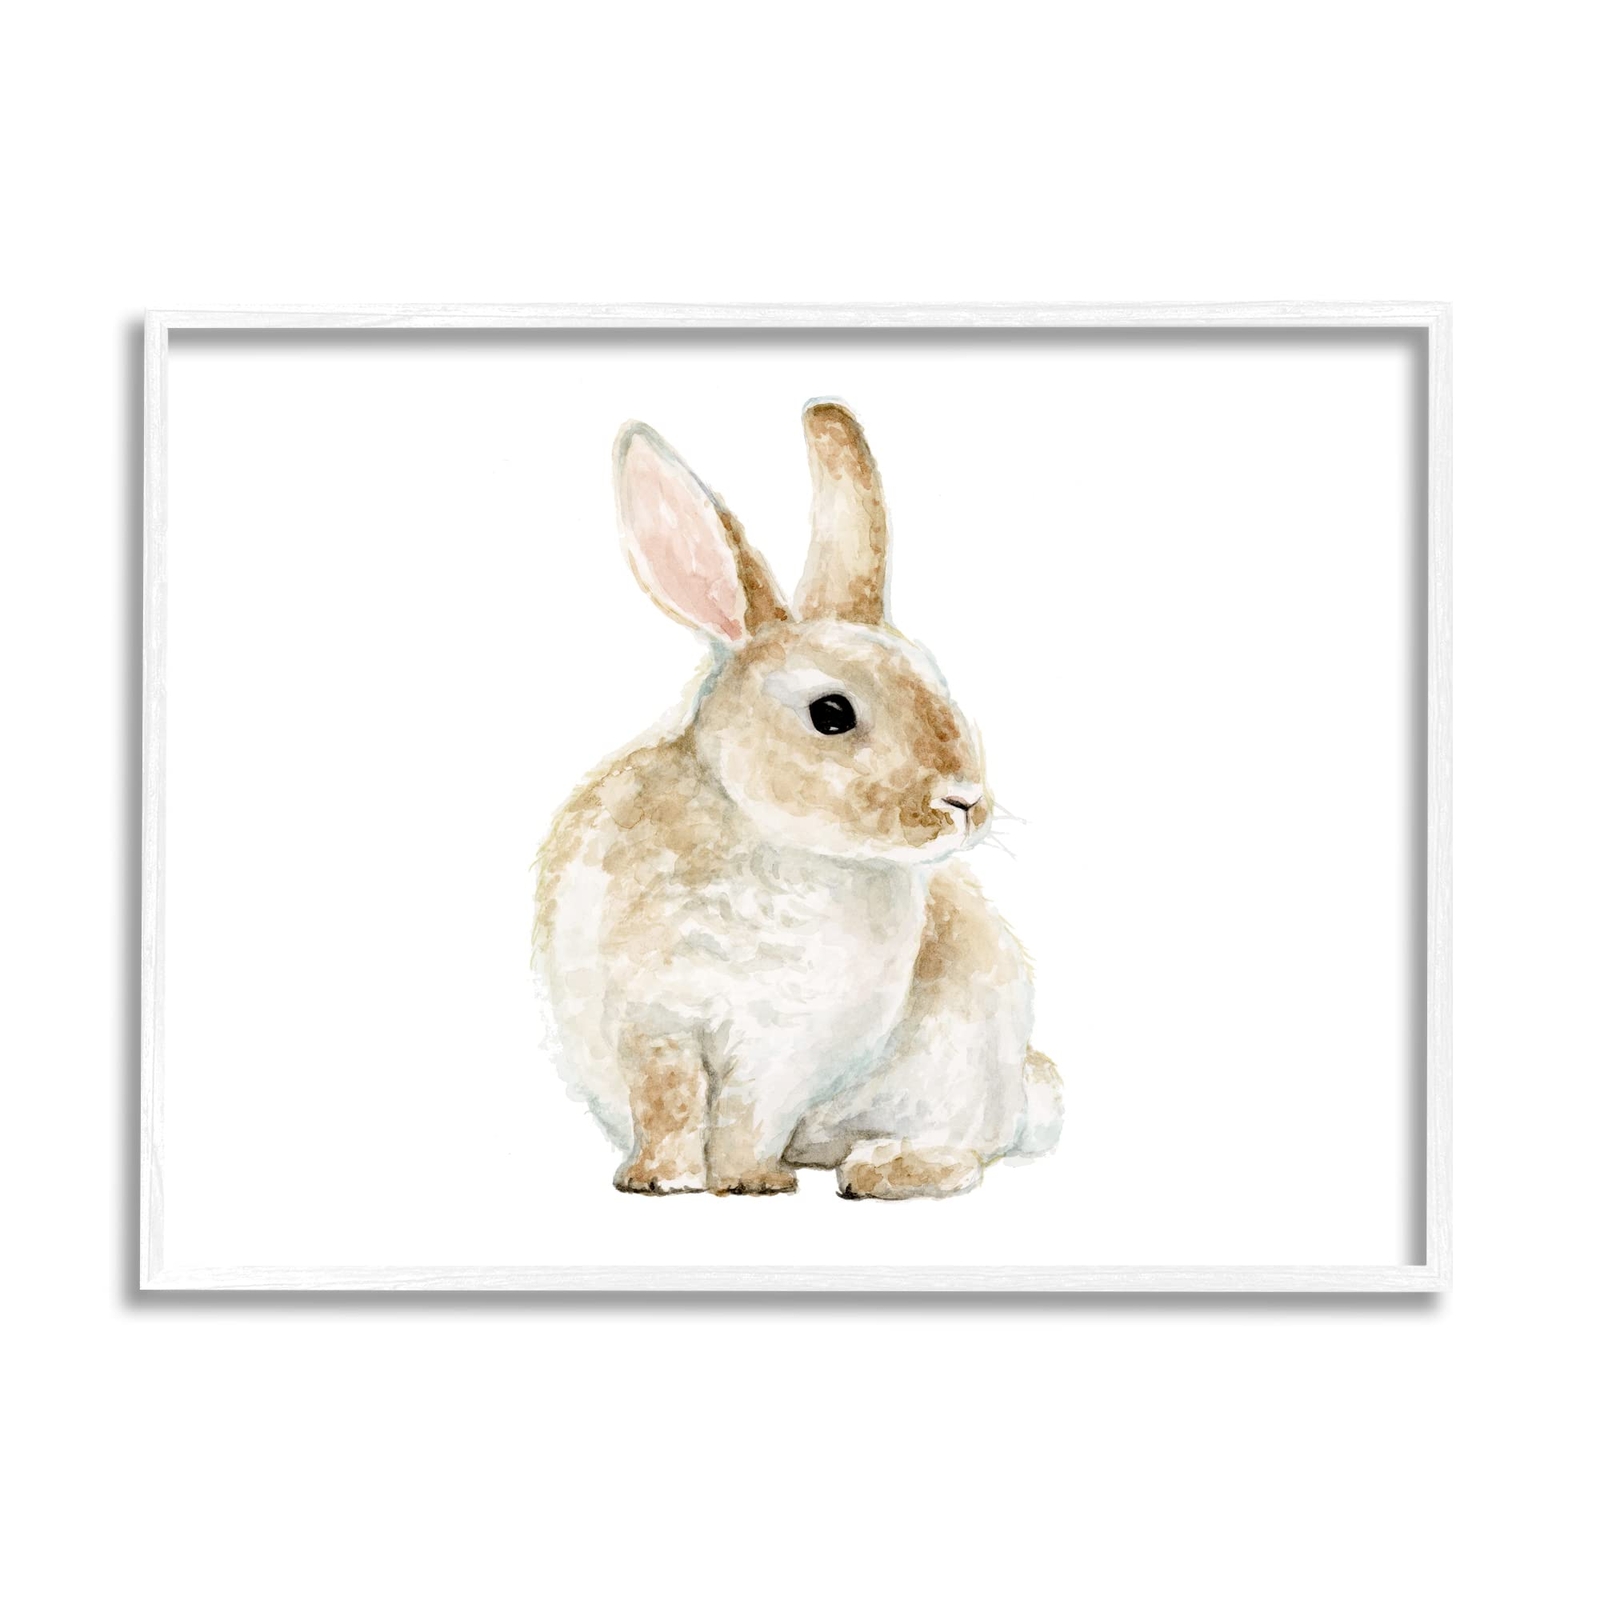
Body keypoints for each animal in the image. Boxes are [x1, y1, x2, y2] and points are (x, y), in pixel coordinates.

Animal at [533, 400, 1062, 1198]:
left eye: (936, 679)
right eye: (832, 714)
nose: (965, 800)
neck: (769, 842)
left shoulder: (786, 1052)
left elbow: (749, 1116)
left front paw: (748, 1182)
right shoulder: (652, 1022)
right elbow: (667, 1099)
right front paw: (659, 1179)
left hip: (962, 1074)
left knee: (967, 1150)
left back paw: (882, 1169)